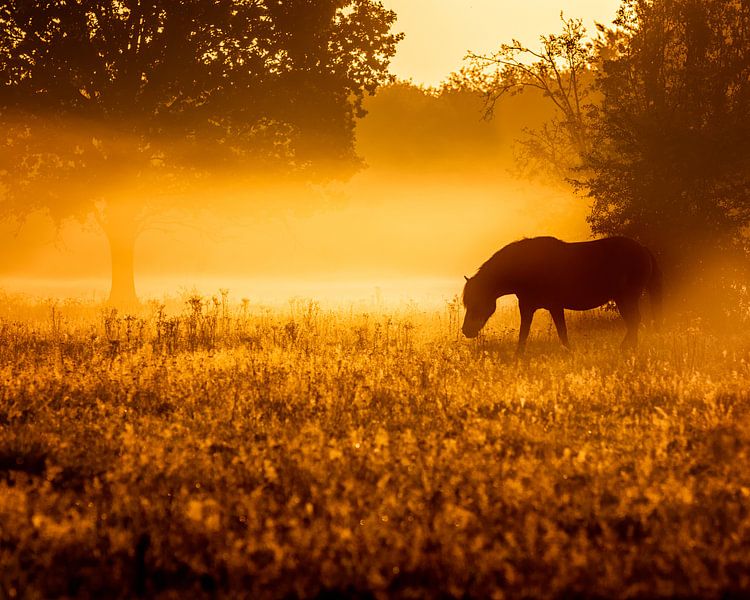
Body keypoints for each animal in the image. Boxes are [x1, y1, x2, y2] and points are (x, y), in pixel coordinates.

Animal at [461, 236, 662, 354]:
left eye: (476, 302)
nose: (466, 331)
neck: (528, 266)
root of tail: (643, 248)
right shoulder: (527, 307)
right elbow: (523, 333)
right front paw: (519, 356)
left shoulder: (555, 306)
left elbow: (562, 332)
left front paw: (569, 352)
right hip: (621, 298)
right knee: (632, 321)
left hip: (628, 297)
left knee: (634, 320)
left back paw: (627, 348)